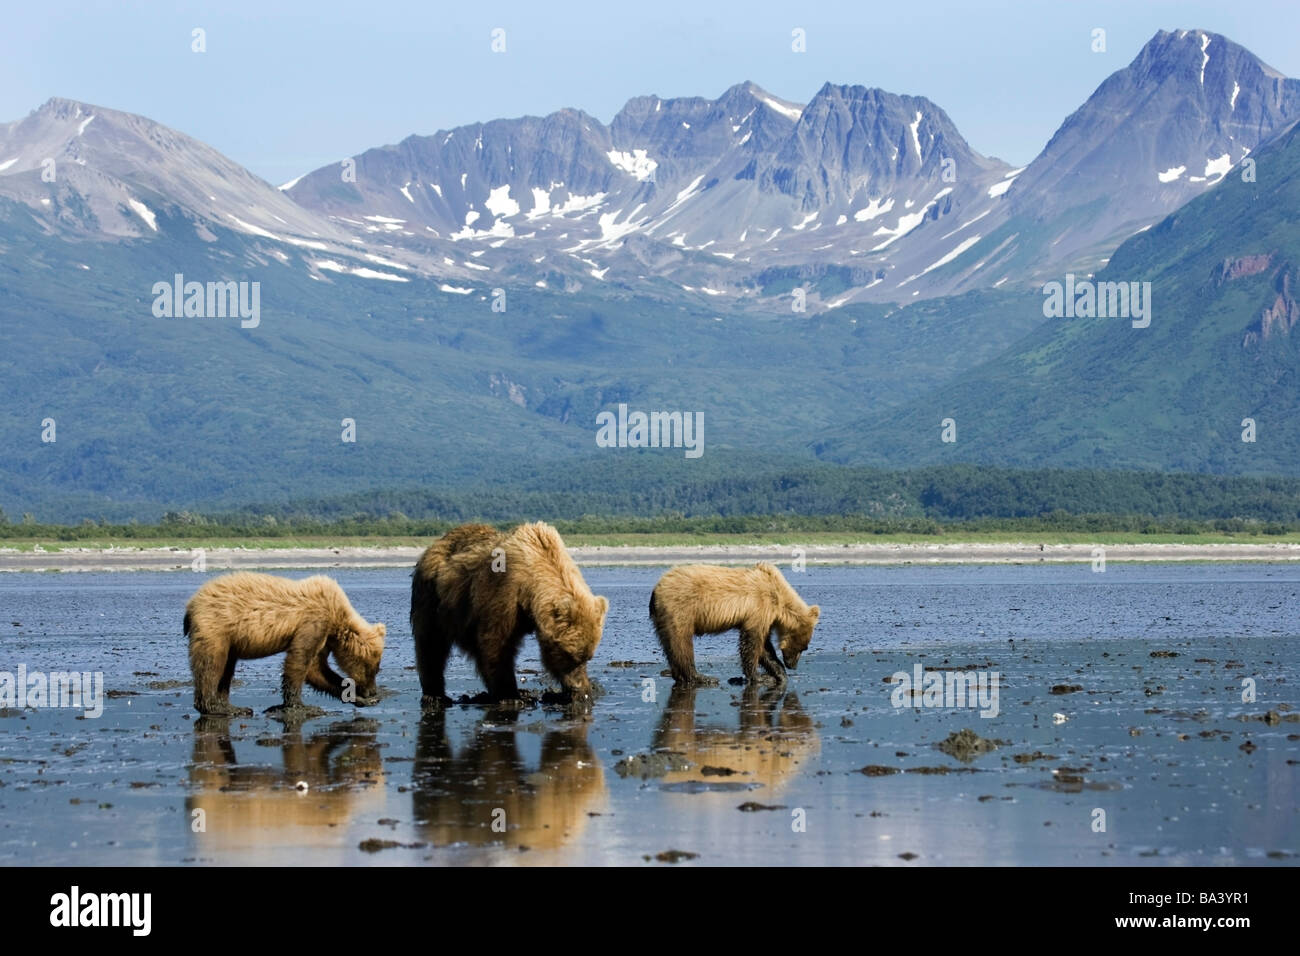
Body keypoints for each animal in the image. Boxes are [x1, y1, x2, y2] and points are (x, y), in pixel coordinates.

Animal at [184, 572, 384, 712]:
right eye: (373, 669)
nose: (373, 691)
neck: (336, 616)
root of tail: (192, 603)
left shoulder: (324, 637)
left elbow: (316, 669)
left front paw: (360, 698)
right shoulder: (313, 623)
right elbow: (299, 660)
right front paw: (299, 705)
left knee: (226, 668)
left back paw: (232, 707)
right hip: (216, 627)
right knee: (211, 664)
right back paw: (215, 707)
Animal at [410, 520, 608, 707]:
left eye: (587, 657)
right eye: (569, 655)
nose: (577, 686)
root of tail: (435, 545)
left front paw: (580, 692)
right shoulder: (504, 593)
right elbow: (496, 644)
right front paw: (511, 696)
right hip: (431, 599)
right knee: (431, 645)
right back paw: (435, 695)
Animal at [650, 561, 821, 686]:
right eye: (804, 648)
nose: (793, 666)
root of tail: (656, 589)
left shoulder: (765, 617)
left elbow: (764, 647)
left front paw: (779, 674)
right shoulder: (759, 608)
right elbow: (752, 643)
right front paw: (758, 676)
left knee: (669, 645)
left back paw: (680, 676)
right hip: (680, 609)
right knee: (681, 642)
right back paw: (702, 677)